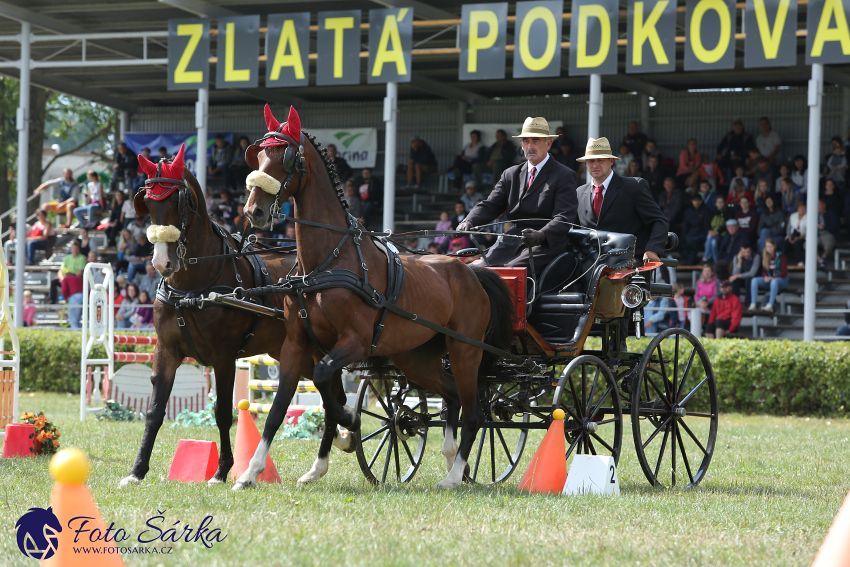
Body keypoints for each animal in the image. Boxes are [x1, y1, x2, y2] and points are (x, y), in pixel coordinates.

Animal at [120, 143, 354, 488]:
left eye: (180, 202)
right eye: (147, 202)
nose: (163, 263)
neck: (193, 285)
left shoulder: (223, 355)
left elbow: (222, 413)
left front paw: (221, 471)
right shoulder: (167, 352)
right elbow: (154, 411)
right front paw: (137, 471)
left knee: (332, 395)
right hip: (302, 354)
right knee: (329, 395)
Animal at [234, 105, 510, 488]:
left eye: (286, 159)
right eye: (257, 156)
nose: (253, 212)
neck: (329, 260)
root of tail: (471, 271)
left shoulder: (356, 341)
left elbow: (323, 379)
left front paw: (349, 424)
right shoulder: (297, 343)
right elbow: (281, 407)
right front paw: (252, 472)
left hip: (465, 351)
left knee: (475, 411)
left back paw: (454, 476)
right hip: (417, 358)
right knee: (452, 395)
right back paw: (452, 457)